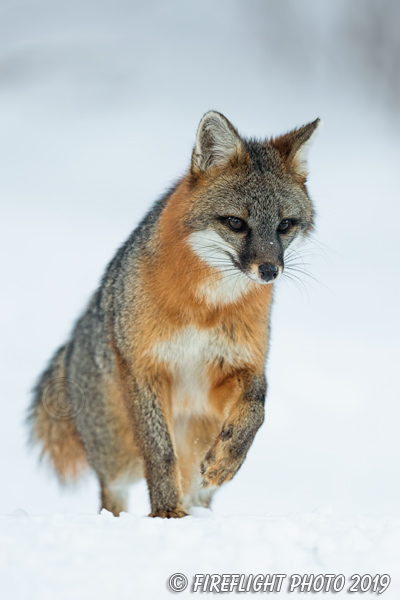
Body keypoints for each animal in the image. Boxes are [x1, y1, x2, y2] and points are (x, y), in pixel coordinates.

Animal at [28, 111, 320, 516]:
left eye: (284, 225)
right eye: (236, 223)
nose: (269, 271)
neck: (204, 309)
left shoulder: (233, 368)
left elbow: (256, 408)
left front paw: (227, 459)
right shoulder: (146, 369)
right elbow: (159, 453)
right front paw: (166, 513)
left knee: (197, 488)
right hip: (117, 459)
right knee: (113, 496)